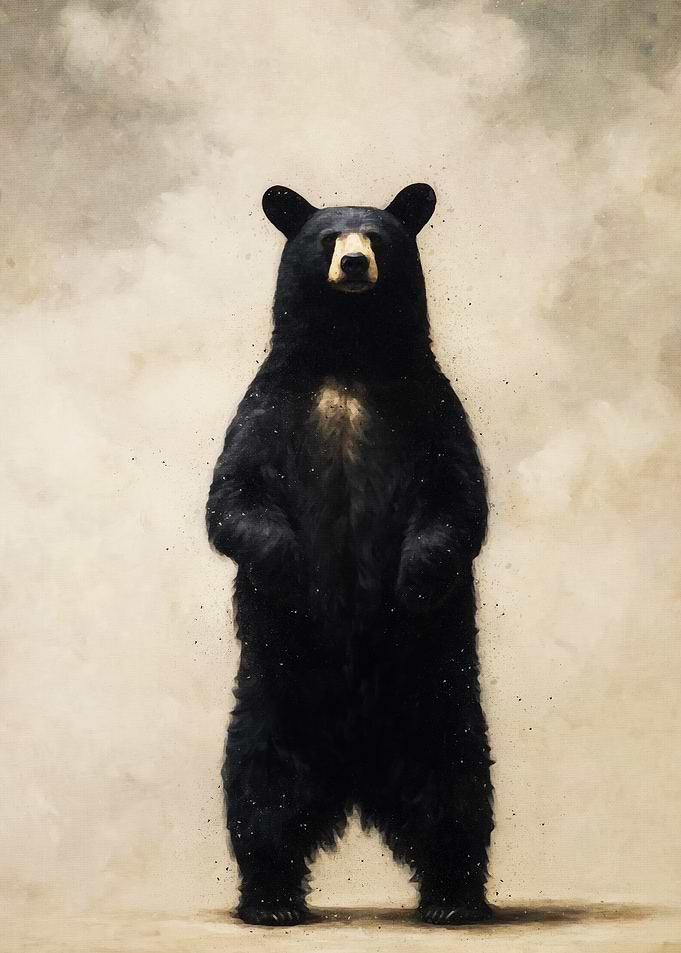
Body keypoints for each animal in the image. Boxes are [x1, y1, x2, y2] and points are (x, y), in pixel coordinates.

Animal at [206, 184, 493, 927]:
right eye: (328, 237)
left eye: (379, 236)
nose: (356, 263)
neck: (349, 359)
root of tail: (357, 773)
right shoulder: (268, 407)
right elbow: (233, 495)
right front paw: (285, 569)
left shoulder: (431, 407)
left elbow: (458, 498)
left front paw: (415, 581)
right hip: (273, 695)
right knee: (260, 791)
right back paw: (271, 898)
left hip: (437, 696)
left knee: (455, 790)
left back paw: (452, 898)